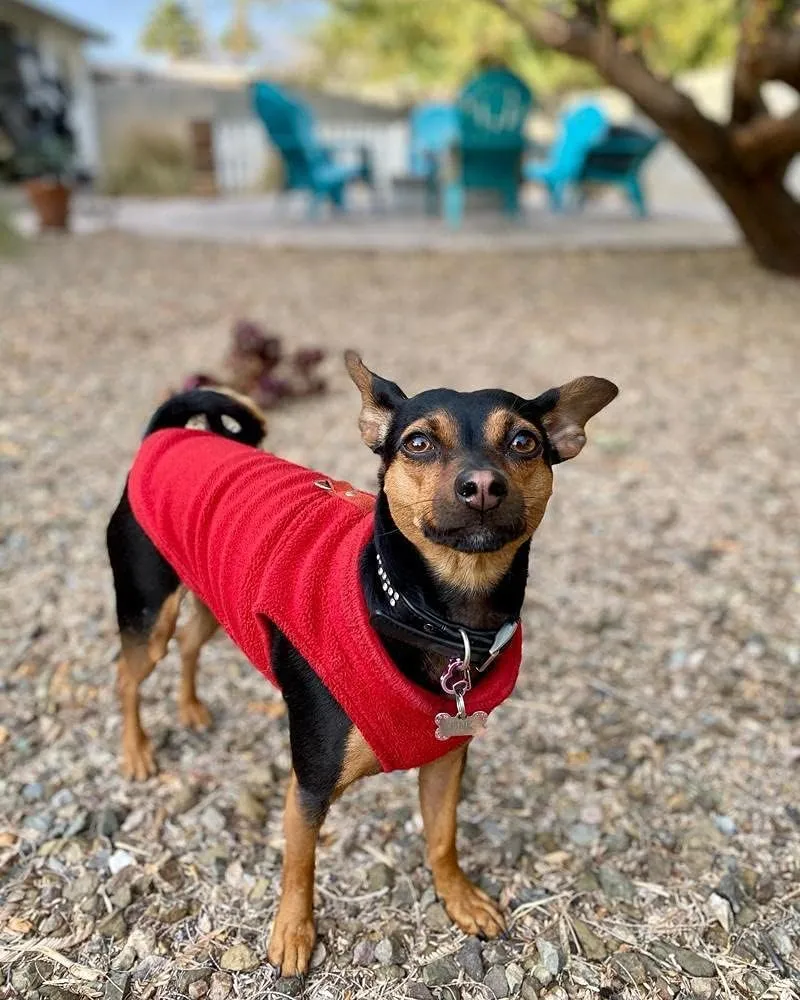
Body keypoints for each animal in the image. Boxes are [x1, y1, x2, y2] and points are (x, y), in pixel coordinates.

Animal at [106, 354, 620, 976]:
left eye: (524, 442)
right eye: (418, 443)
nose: (481, 486)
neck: (435, 615)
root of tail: (169, 434)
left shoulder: (446, 759)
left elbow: (442, 837)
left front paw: (458, 897)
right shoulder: (310, 782)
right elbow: (300, 863)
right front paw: (293, 933)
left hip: (211, 595)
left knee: (190, 644)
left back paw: (191, 709)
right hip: (147, 609)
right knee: (129, 675)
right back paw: (137, 752)